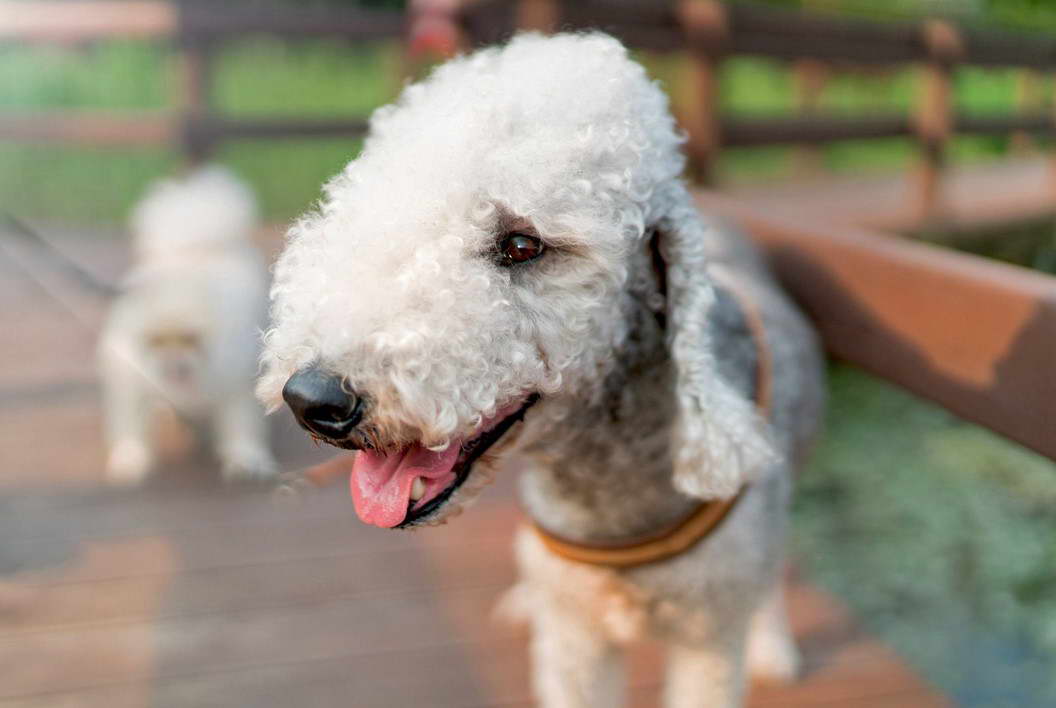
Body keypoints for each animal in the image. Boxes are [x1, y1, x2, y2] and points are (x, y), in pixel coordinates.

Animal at [99, 166, 276, 488]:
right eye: (155, 341)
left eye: (191, 339)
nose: (173, 367)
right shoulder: (132, 379)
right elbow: (131, 425)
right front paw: (130, 460)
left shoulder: (233, 381)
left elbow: (240, 425)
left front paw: (246, 460)